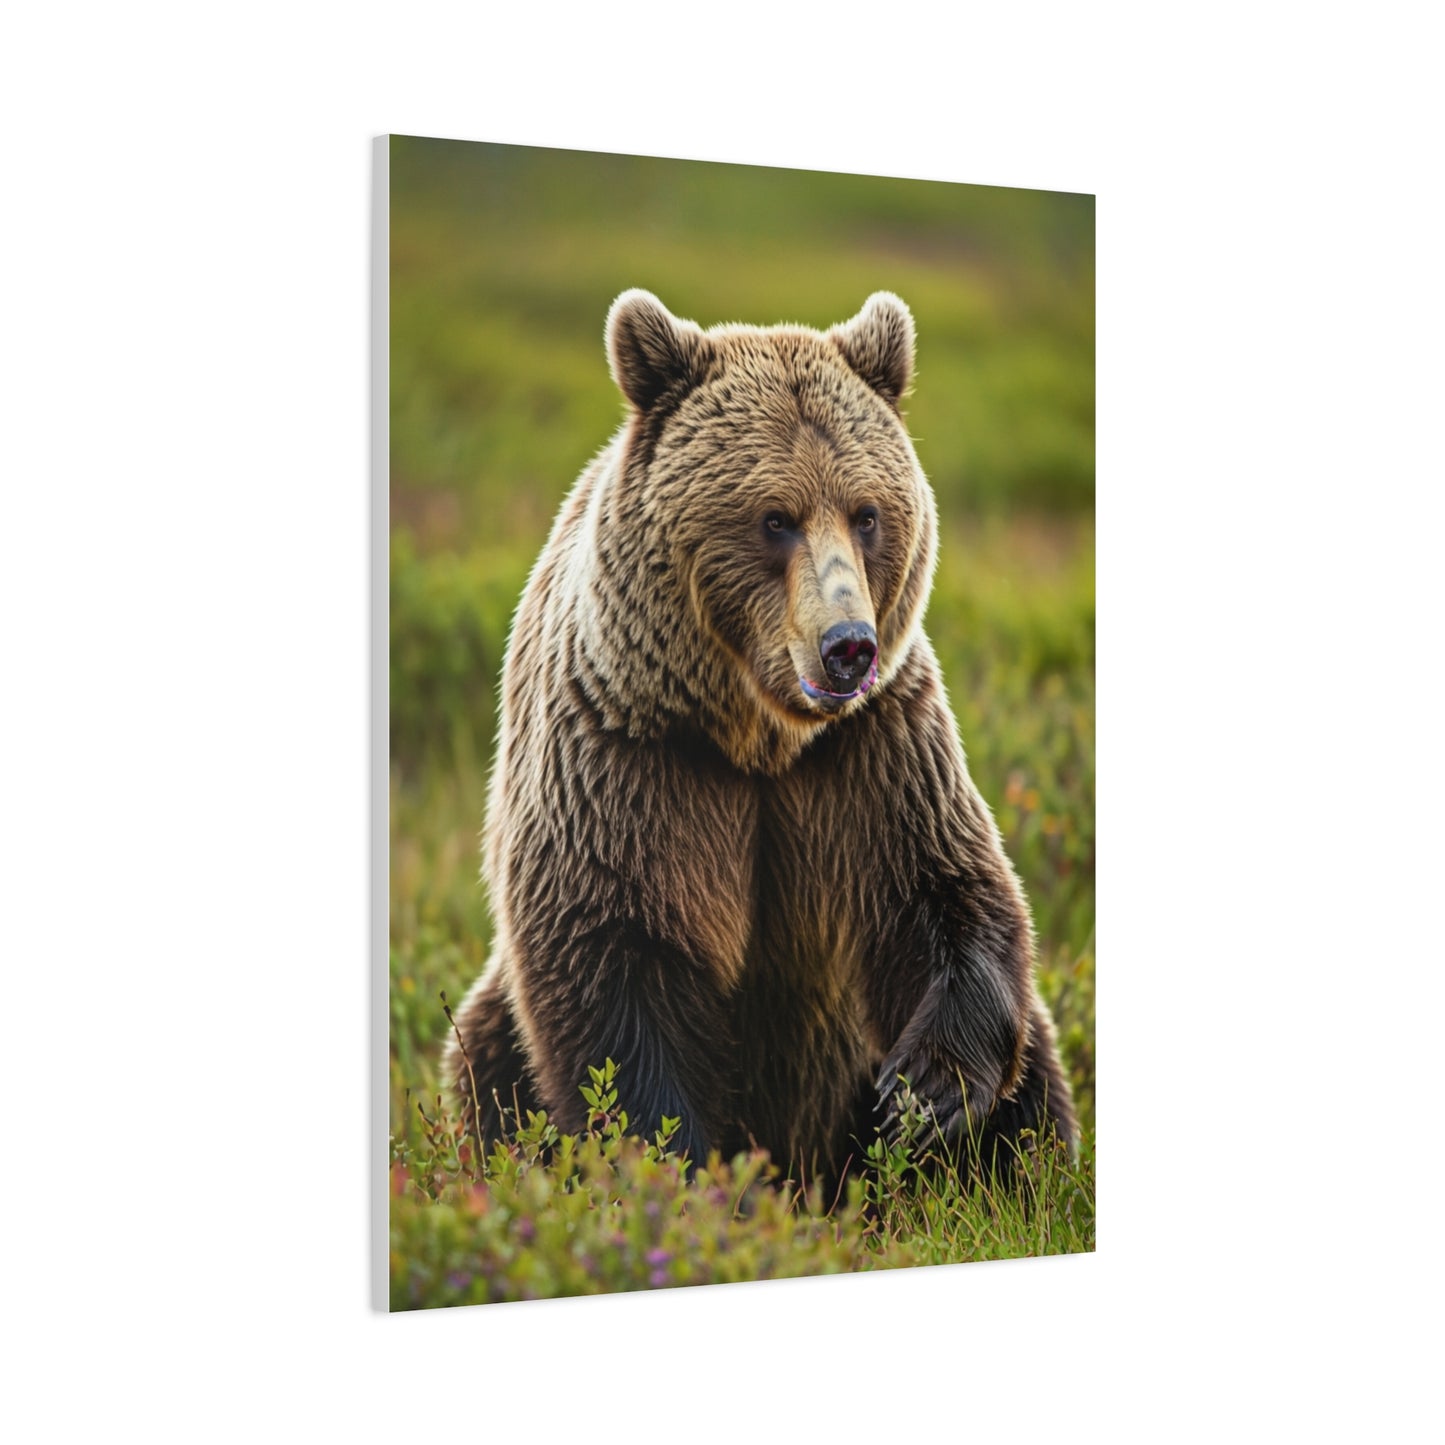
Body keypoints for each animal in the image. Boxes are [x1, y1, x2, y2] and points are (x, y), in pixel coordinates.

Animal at [444, 289, 1078, 1182]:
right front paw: (669, 1162)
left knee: (1036, 1073)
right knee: (489, 1062)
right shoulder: (626, 759)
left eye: (867, 512)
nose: (847, 644)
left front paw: (924, 1094)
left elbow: (946, 887)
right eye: (774, 517)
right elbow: (611, 958)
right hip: (493, 1020)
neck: (756, 738)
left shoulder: (875, 751)